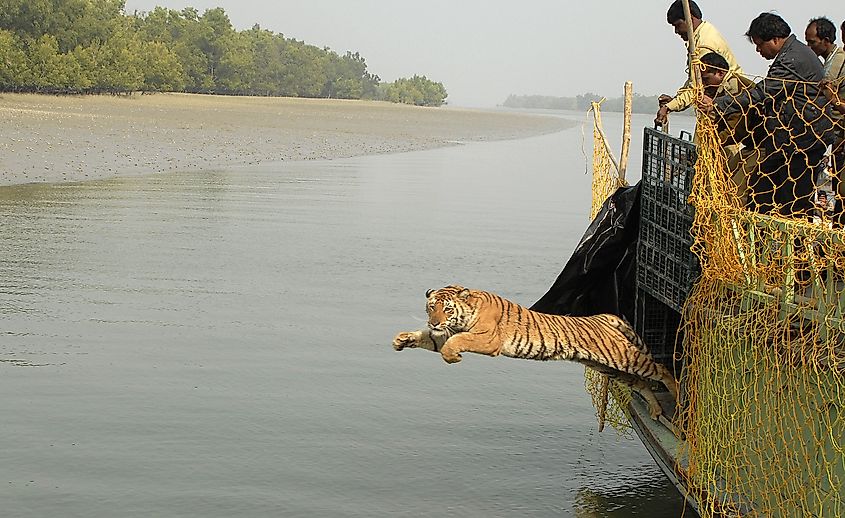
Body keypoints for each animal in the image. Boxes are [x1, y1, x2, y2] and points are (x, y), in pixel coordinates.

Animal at [394, 286, 680, 420]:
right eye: (431, 307)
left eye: (446, 309)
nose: (434, 321)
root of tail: (604, 317)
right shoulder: (444, 333)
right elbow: (429, 339)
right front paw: (402, 339)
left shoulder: (487, 339)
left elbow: (457, 341)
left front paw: (453, 356)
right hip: (611, 368)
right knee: (641, 383)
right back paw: (656, 409)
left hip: (624, 358)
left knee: (661, 369)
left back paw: (678, 396)